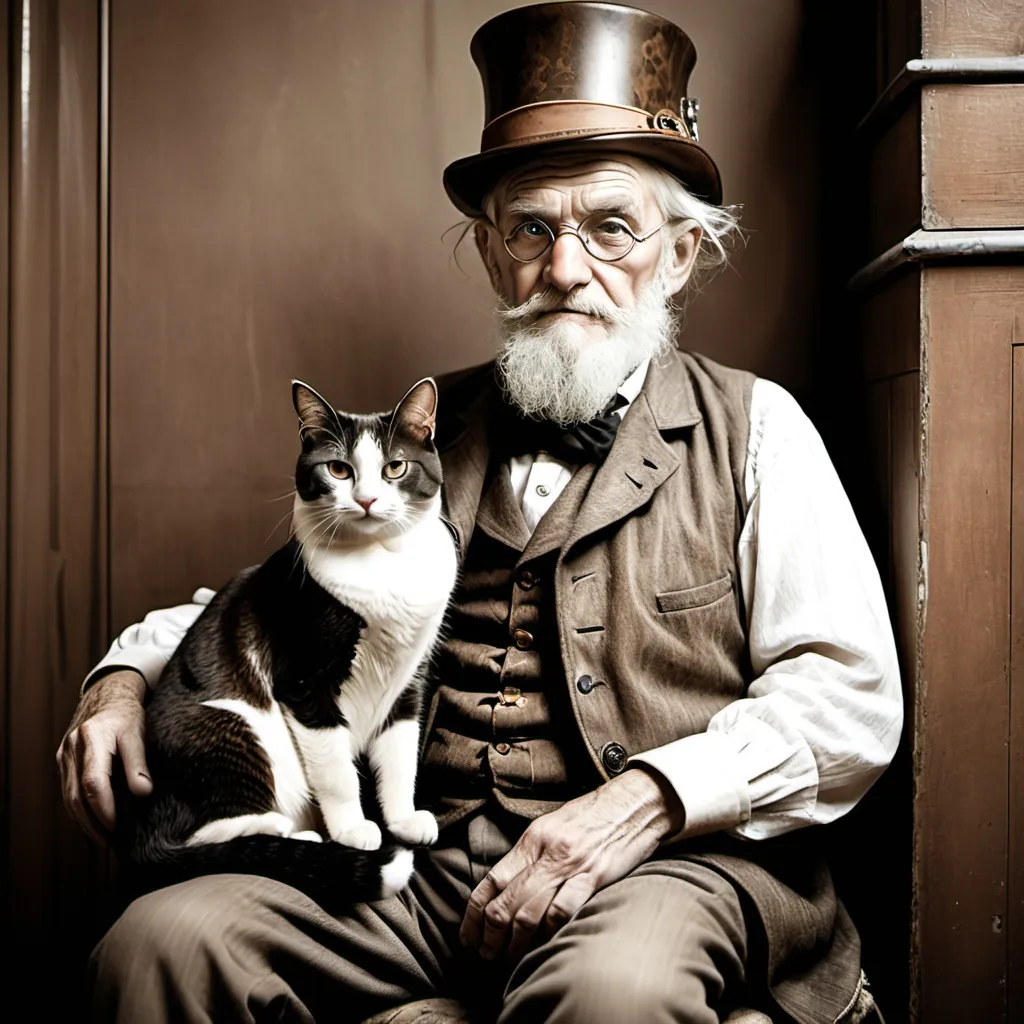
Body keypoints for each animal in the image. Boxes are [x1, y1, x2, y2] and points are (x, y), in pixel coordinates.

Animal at [119, 376, 456, 905]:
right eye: (338, 469)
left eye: (395, 467)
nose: (366, 499)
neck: (382, 557)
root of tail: (141, 827)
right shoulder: (303, 681)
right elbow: (336, 770)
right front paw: (354, 830)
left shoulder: (409, 678)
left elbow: (401, 753)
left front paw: (402, 818)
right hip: (231, 725)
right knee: (202, 835)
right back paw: (294, 835)